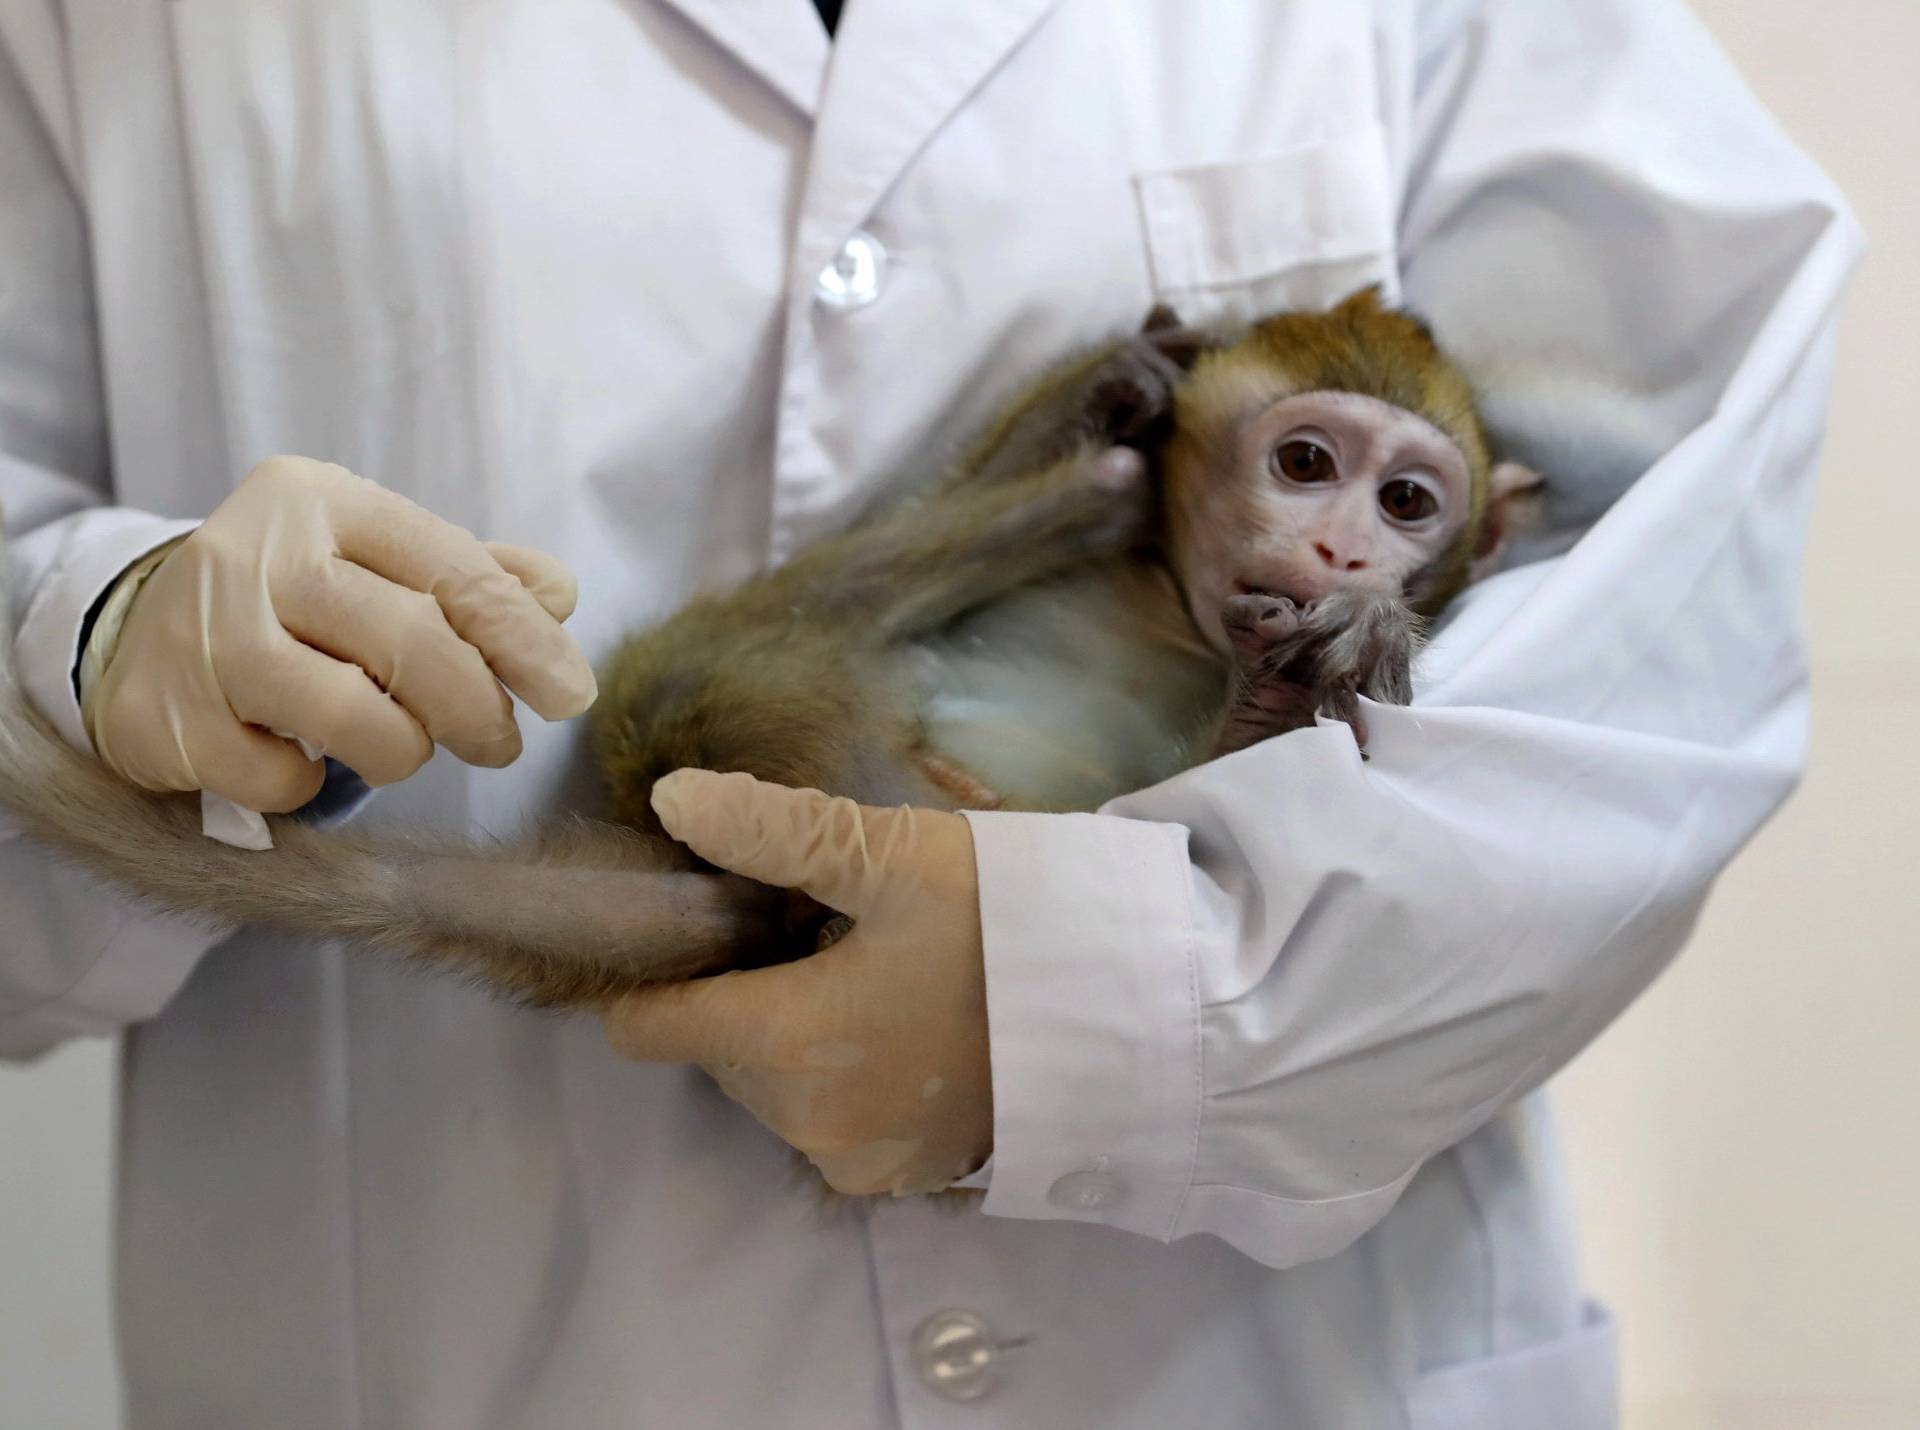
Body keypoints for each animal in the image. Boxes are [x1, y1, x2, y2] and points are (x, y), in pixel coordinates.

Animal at [0, 287, 1528, 998]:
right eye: (1308, 460)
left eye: (1406, 499)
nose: (1343, 551)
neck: (1174, 602)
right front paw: (1112, 385)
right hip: (732, 677)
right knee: (1019, 532)